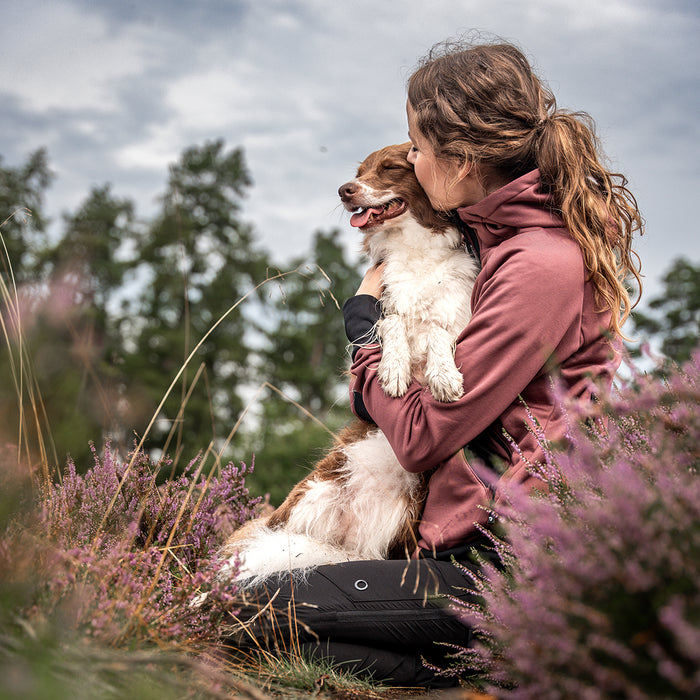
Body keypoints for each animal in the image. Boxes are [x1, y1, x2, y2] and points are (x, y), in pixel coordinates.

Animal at [221, 142, 478, 584]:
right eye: (358, 173)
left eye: (390, 168)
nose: (344, 190)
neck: (415, 249)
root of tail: (343, 540)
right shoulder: (386, 299)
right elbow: (393, 322)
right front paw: (392, 369)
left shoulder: (459, 316)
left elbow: (434, 330)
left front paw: (443, 376)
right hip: (314, 492)